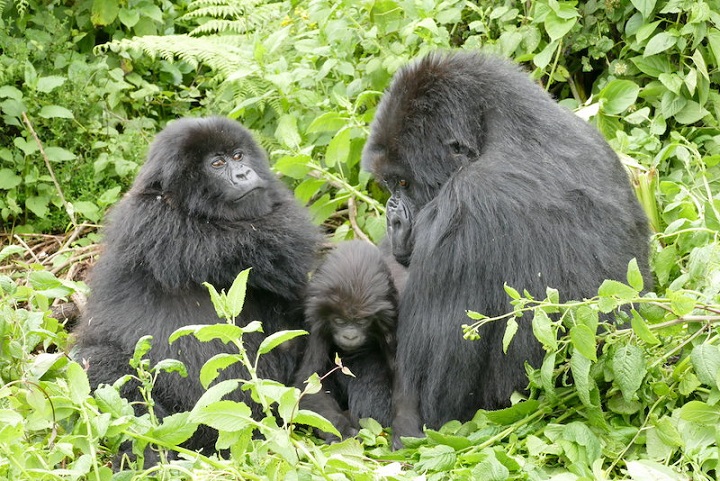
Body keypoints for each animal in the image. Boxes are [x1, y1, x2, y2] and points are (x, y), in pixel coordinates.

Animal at [74, 115, 320, 454]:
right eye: (217, 163)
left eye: (238, 155)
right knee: (97, 364)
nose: (244, 173)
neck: (186, 207)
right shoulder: (160, 224)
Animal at [296, 240, 402, 438]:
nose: (350, 335)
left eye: (361, 321)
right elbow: (309, 381)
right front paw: (340, 429)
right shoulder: (316, 324)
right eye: (339, 320)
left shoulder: (391, 324)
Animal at [362, 51, 648, 446]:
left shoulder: (464, 208)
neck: (504, 127)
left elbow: (430, 408)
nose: (392, 217)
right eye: (389, 185)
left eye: (404, 184)